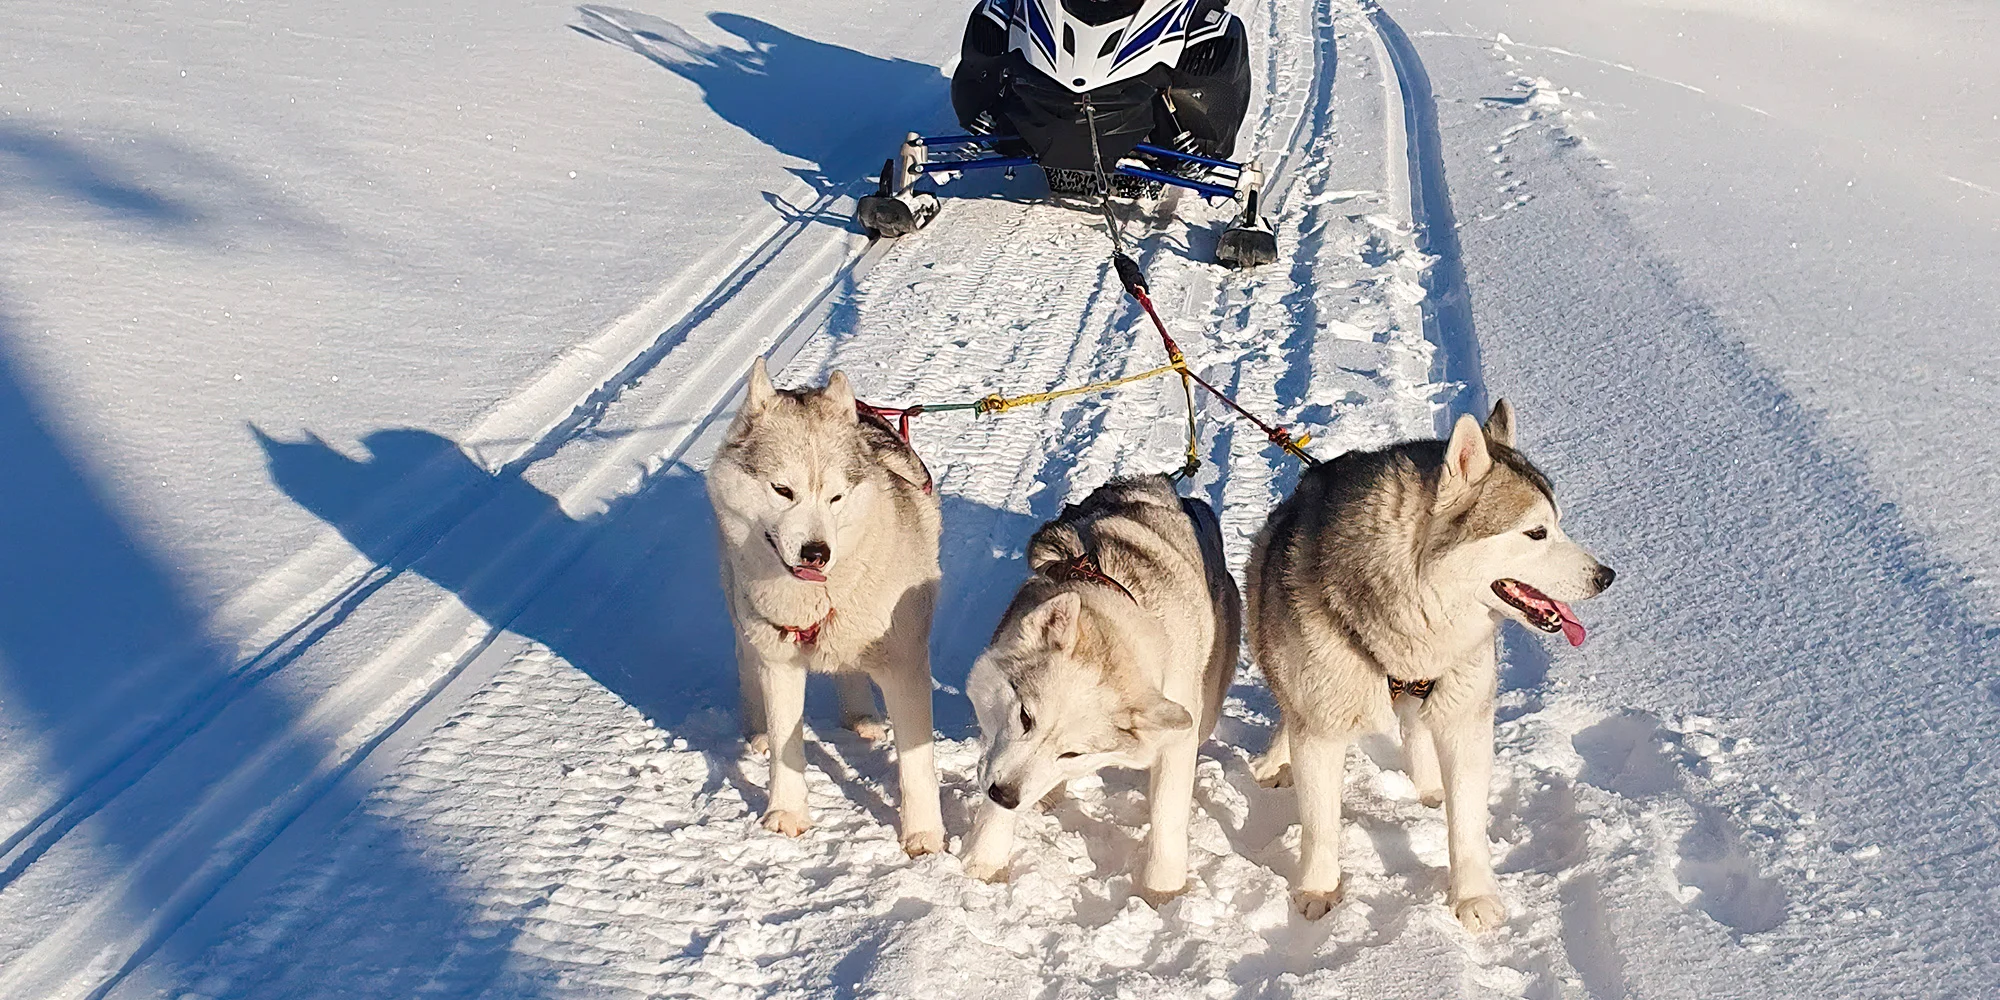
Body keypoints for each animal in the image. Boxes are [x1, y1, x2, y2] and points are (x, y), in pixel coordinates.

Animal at [708, 364, 948, 856]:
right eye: (783, 490)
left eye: (836, 497)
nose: (817, 553)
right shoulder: (780, 662)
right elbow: (787, 743)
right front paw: (786, 813)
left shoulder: (905, 665)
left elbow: (916, 762)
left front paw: (923, 834)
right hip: (742, 615)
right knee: (746, 661)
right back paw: (757, 730)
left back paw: (861, 717)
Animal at [964, 474, 1240, 900]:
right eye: (1025, 717)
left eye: (1073, 753)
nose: (1004, 794)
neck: (1120, 598)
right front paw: (985, 860)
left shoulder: (1179, 737)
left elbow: (1168, 817)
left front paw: (1163, 891)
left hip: (1205, 711)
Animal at [1240, 402, 1616, 932]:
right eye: (1536, 532)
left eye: (1558, 525)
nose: (1606, 576)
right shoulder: (1321, 729)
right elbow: (1320, 825)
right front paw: (1318, 890)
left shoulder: (1466, 718)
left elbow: (1467, 823)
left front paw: (1473, 896)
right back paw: (1275, 761)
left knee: (1417, 727)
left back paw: (1428, 785)